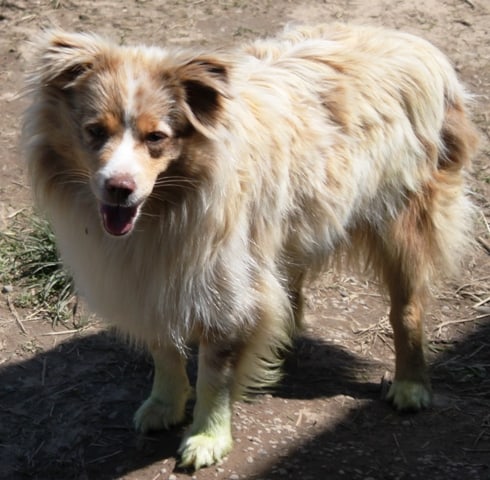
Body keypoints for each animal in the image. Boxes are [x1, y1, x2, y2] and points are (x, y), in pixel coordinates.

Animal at [23, 23, 478, 468]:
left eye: (157, 137)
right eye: (94, 131)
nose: (119, 188)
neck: (168, 206)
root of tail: (413, 43)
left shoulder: (223, 284)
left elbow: (215, 374)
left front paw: (208, 439)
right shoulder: (152, 276)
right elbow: (163, 349)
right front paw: (164, 405)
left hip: (403, 223)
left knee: (407, 308)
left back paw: (411, 384)